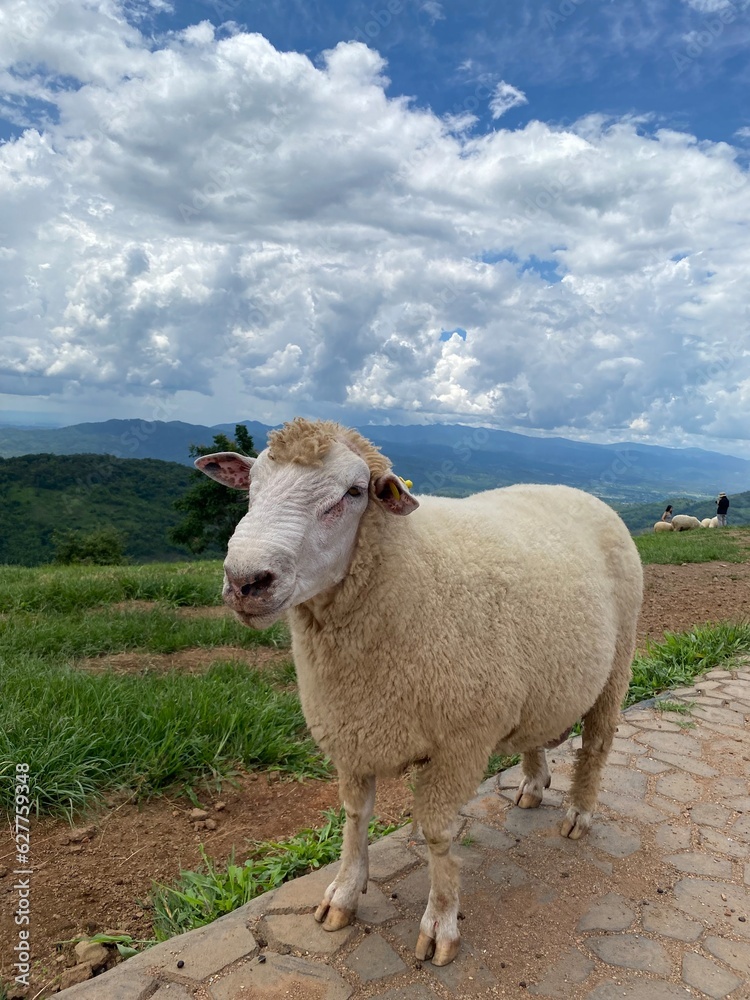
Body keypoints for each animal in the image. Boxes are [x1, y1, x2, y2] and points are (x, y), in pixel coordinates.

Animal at [196, 418, 643, 967]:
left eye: (353, 492)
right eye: (252, 485)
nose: (246, 581)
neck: (403, 576)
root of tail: (577, 491)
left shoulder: (459, 743)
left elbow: (436, 832)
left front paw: (441, 922)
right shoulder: (351, 730)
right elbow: (355, 816)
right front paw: (343, 895)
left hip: (617, 660)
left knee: (598, 744)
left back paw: (579, 813)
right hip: (540, 680)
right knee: (535, 732)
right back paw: (534, 785)